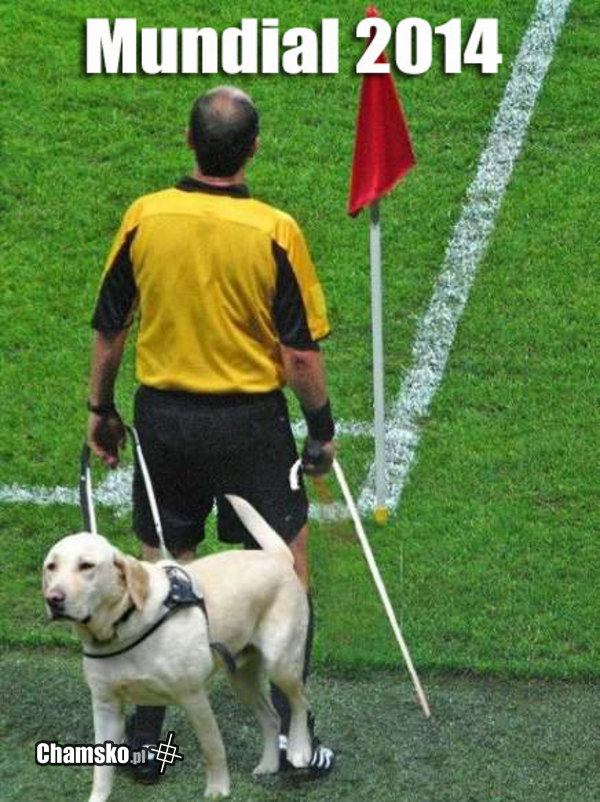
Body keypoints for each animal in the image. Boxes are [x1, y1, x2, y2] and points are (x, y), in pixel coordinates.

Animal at [42, 495, 312, 801]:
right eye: (51, 567)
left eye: (87, 566)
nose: (54, 599)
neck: (125, 625)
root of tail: (278, 557)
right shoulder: (105, 705)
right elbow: (101, 770)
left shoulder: (193, 696)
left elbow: (213, 749)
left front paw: (218, 789)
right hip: (242, 678)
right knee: (272, 718)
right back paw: (268, 765)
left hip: (281, 663)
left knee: (300, 702)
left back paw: (300, 750)